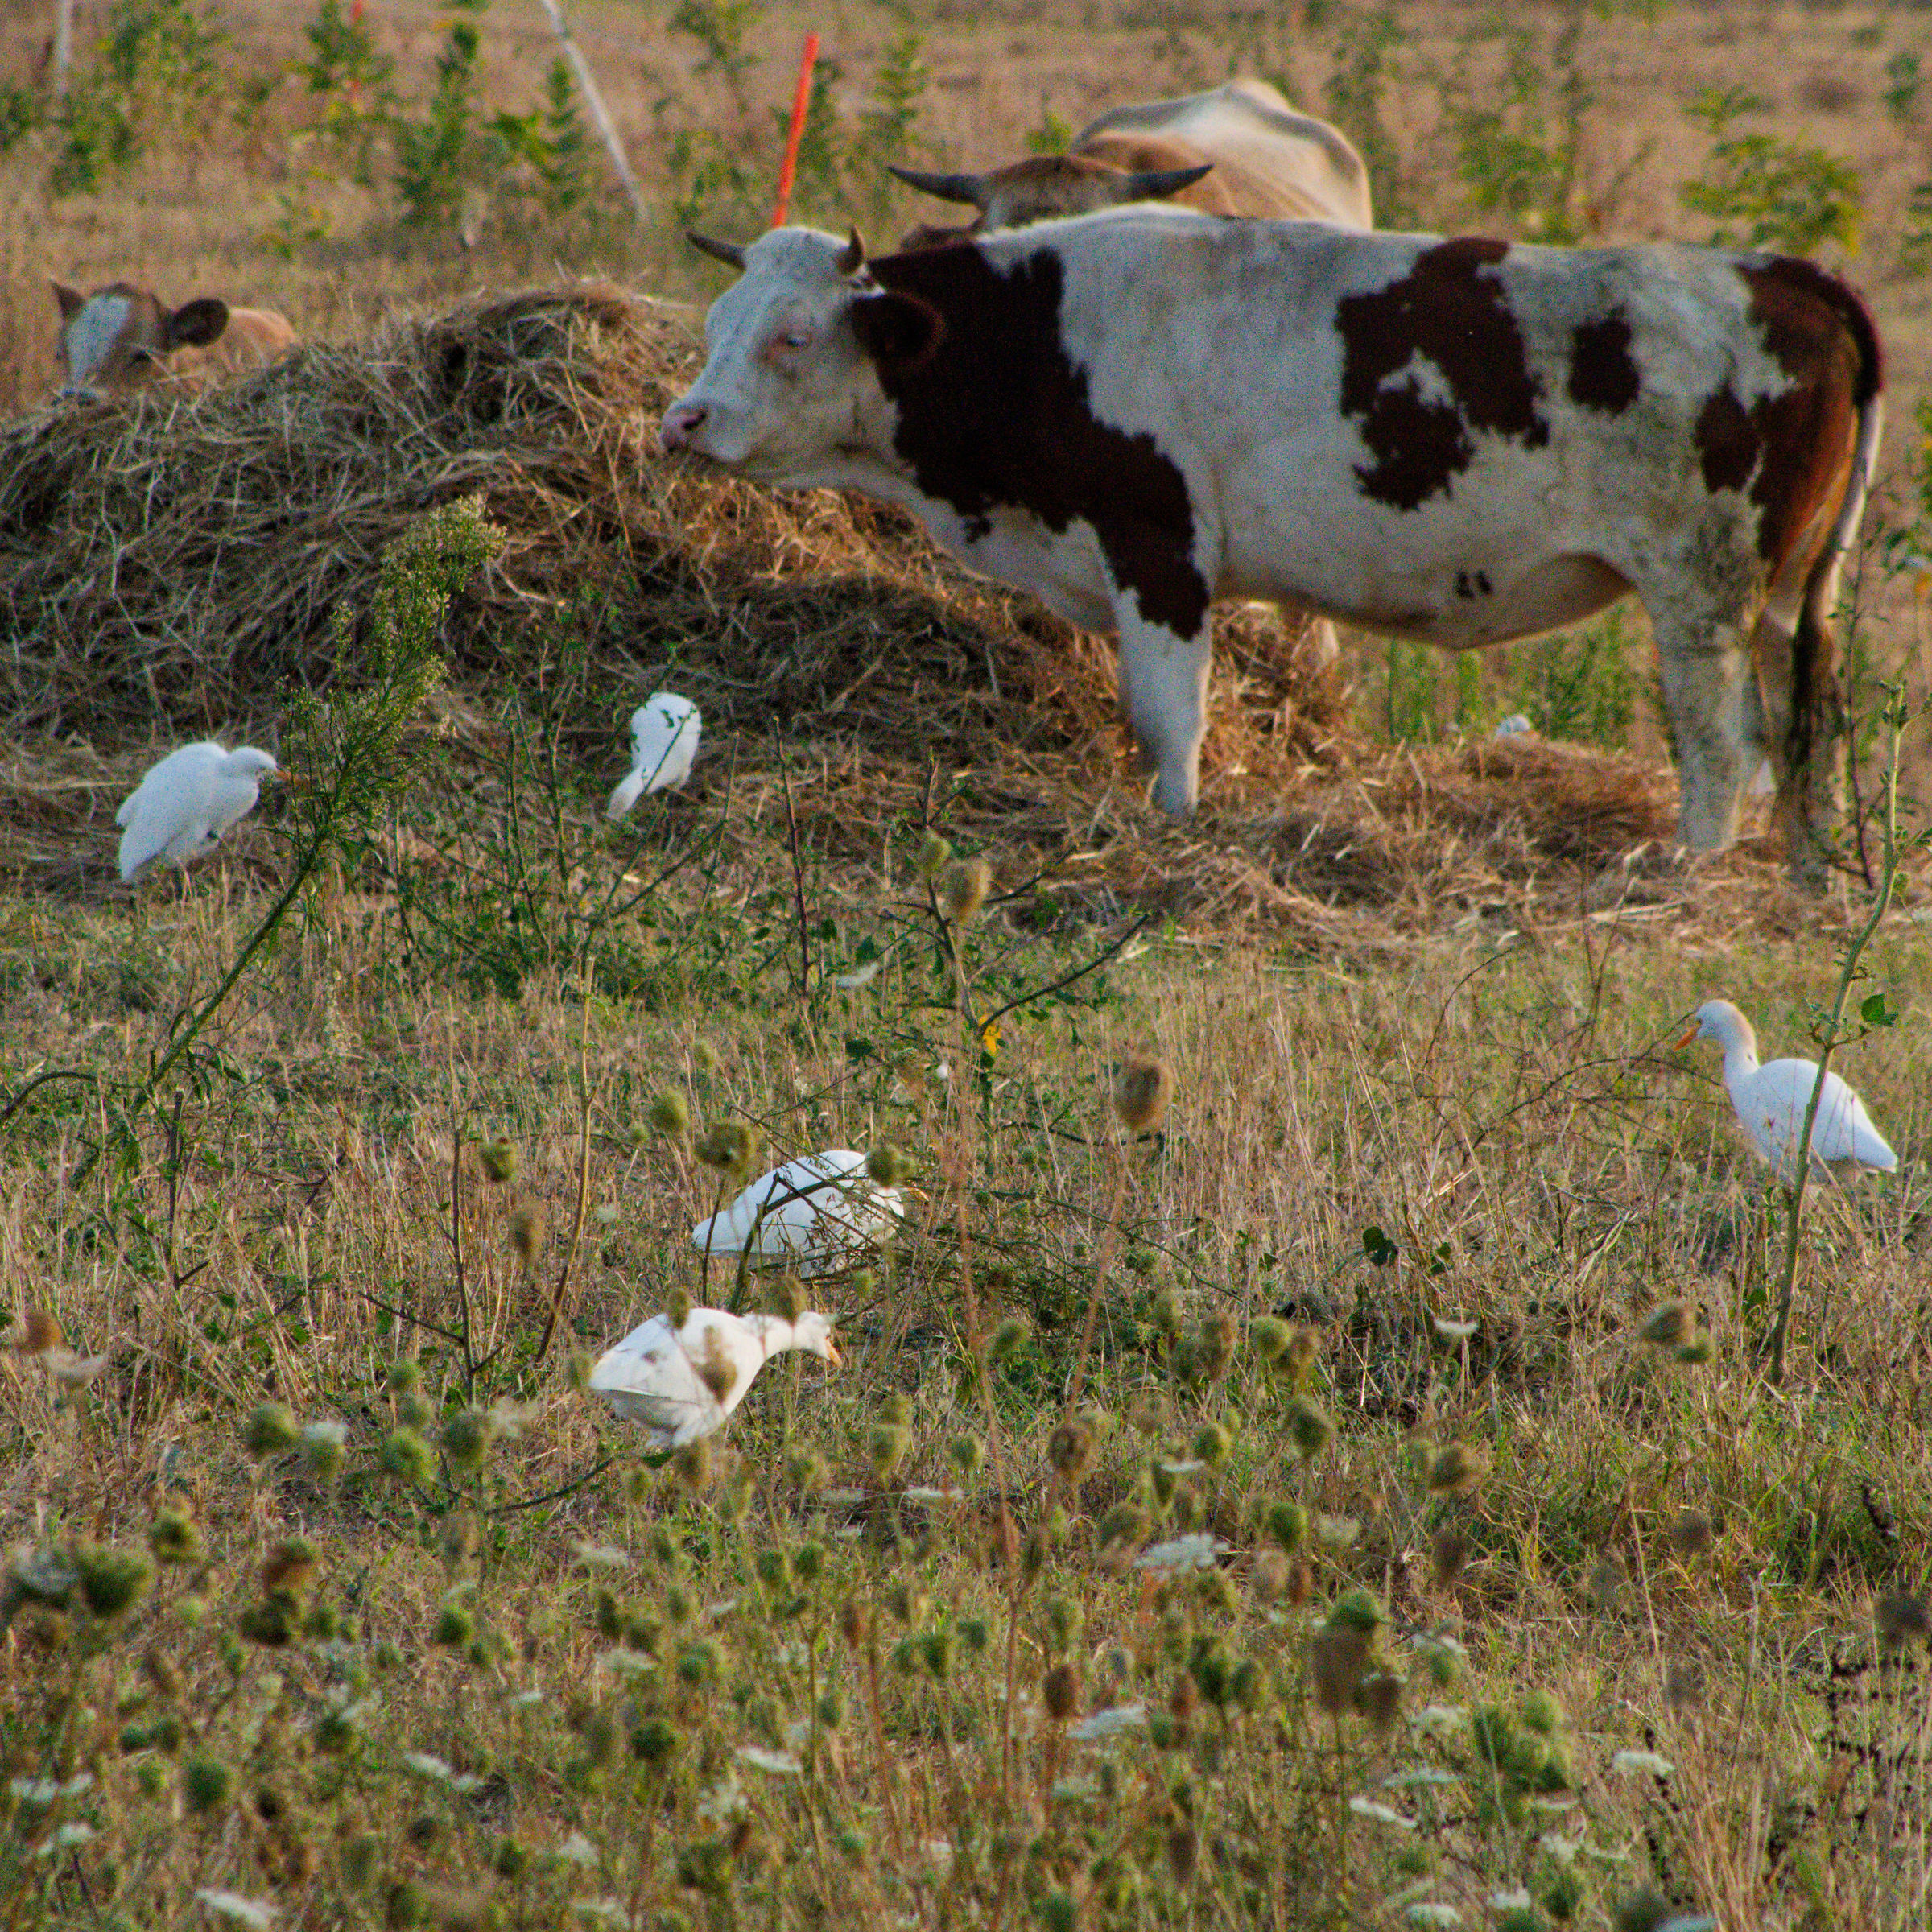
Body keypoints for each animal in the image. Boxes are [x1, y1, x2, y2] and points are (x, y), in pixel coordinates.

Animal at [660, 213, 1882, 887]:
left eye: (792, 335)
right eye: (717, 320)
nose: (683, 420)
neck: (1046, 333)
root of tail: (1775, 272)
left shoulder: (1158, 551)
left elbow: (1169, 722)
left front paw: (1177, 833)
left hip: (1700, 592)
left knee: (1724, 748)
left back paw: (1689, 876)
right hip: (1787, 598)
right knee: (1806, 729)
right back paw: (1807, 882)